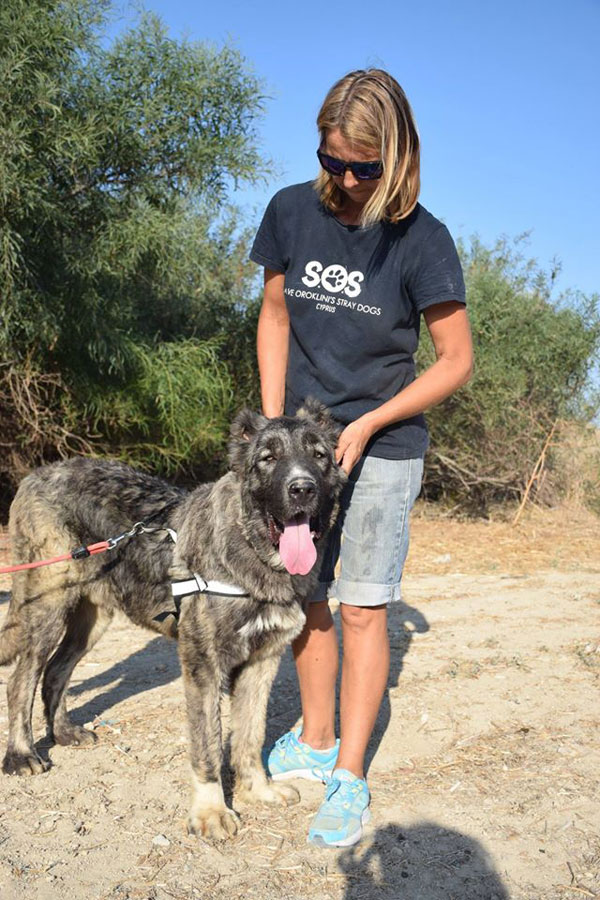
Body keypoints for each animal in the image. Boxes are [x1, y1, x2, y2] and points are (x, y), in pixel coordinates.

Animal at [0, 400, 344, 836]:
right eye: (268, 459)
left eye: (319, 456)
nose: (302, 488)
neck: (250, 551)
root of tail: (36, 475)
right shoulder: (203, 665)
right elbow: (209, 745)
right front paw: (211, 811)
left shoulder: (262, 661)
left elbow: (250, 735)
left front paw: (257, 789)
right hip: (48, 607)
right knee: (22, 678)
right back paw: (21, 753)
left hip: (91, 620)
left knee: (56, 671)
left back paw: (62, 733)